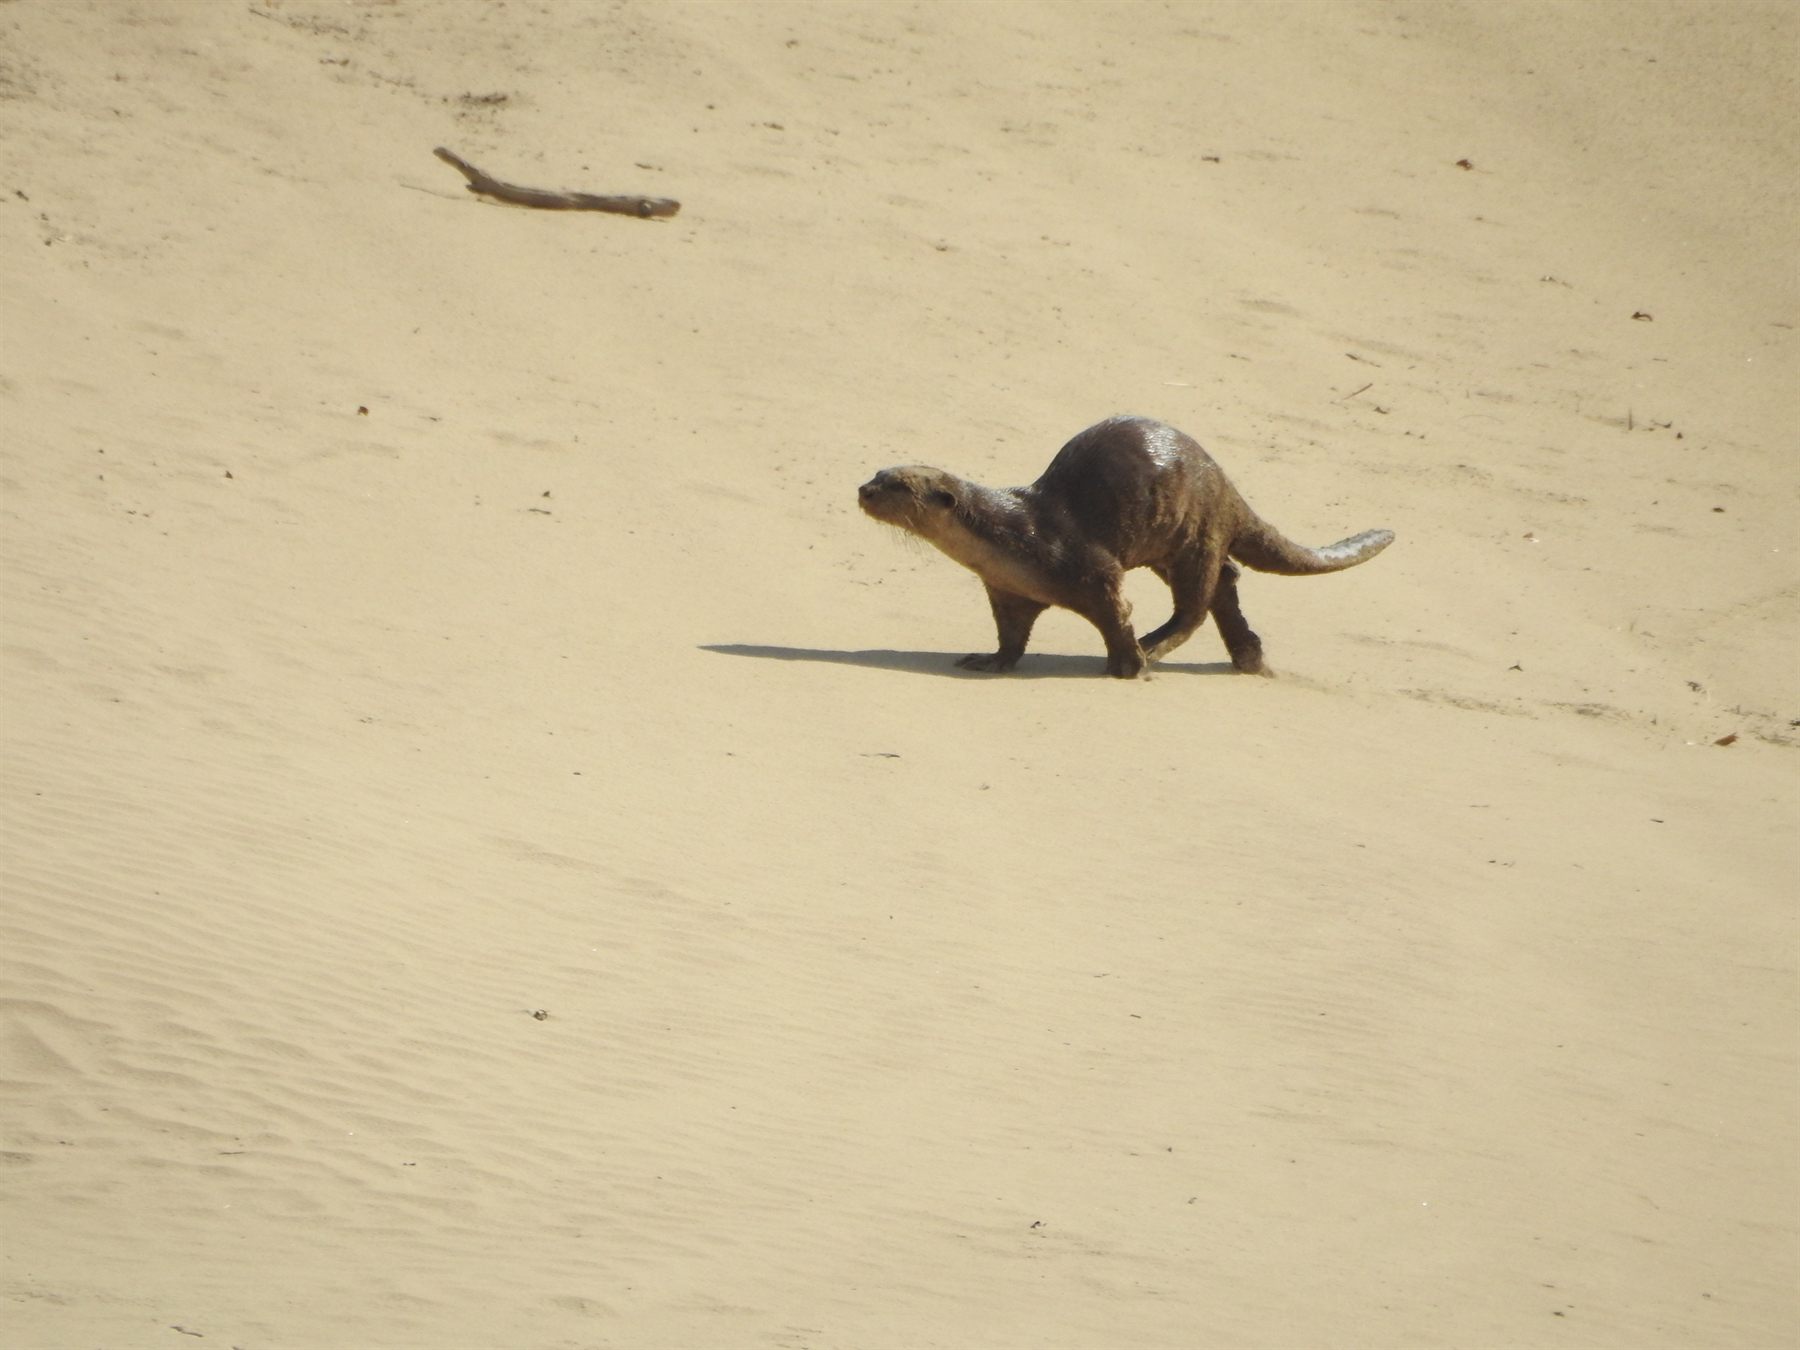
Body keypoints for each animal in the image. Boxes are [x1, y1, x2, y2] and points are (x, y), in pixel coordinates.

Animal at [857, 416, 1393, 678]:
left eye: (899, 486)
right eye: (877, 473)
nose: (864, 490)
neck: (1014, 535)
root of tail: (1223, 480)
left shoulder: (1089, 568)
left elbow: (1116, 614)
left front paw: (1127, 666)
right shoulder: (1008, 591)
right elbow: (1011, 635)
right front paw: (992, 661)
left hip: (1196, 530)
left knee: (1195, 605)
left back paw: (1153, 649)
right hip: (1176, 545)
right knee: (1225, 582)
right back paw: (1248, 658)